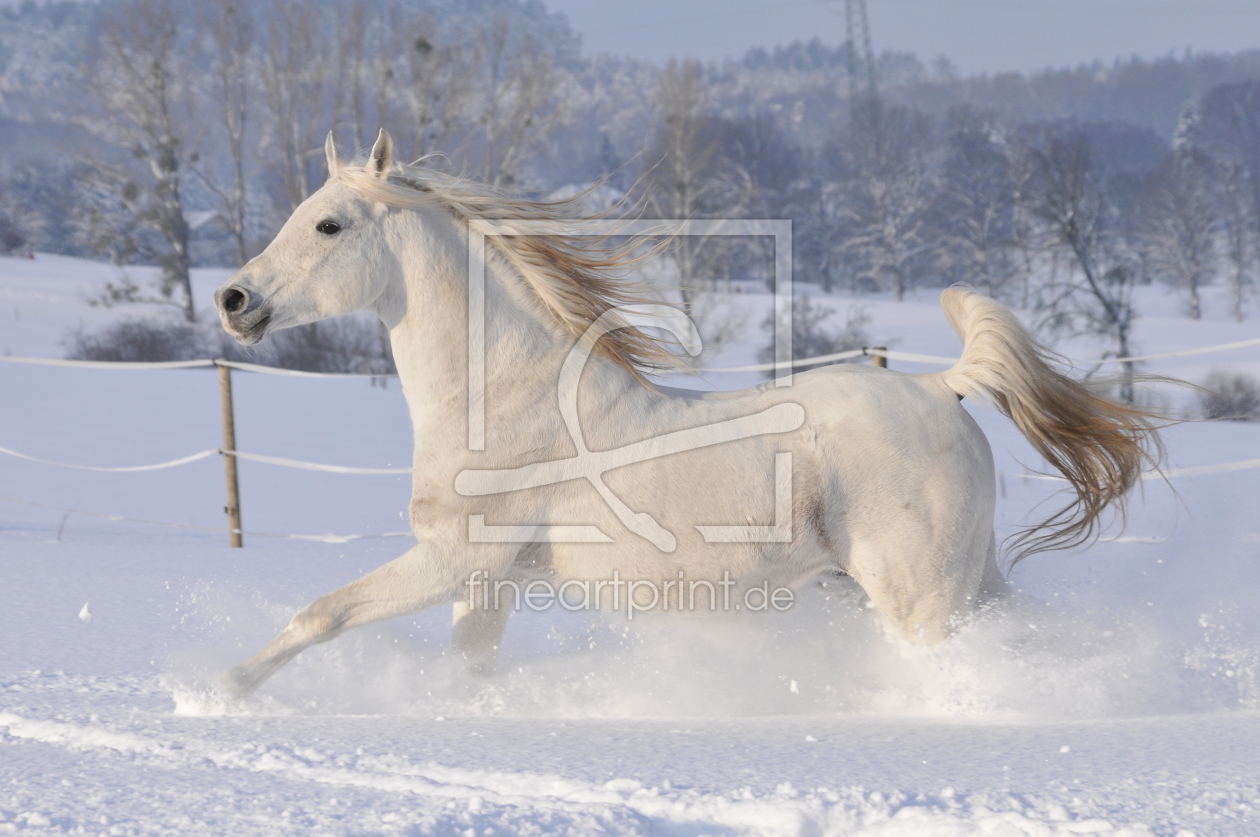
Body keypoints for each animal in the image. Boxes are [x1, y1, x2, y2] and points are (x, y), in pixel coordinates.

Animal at [211, 129, 1154, 690]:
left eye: (328, 225)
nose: (233, 299)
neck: (505, 399)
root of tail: (936, 385)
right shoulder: (486, 581)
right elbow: (467, 667)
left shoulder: (448, 560)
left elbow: (321, 611)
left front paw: (213, 689)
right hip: (962, 582)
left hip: (918, 597)